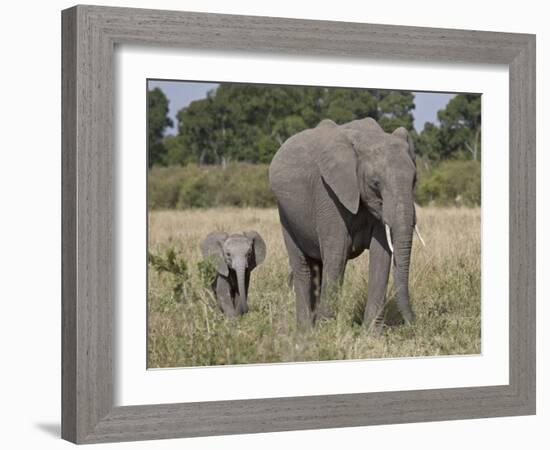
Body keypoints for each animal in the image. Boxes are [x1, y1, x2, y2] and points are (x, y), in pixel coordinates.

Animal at [270, 118, 424, 330]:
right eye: (375, 183)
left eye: (414, 180)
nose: (413, 324)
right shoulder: (328, 193)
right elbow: (337, 253)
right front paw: (326, 331)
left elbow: (381, 255)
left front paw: (371, 332)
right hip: (286, 214)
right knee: (304, 266)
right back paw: (305, 330)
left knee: (318, 267)